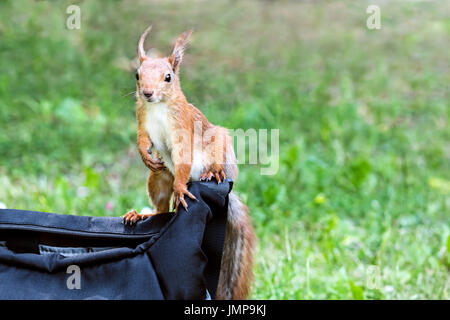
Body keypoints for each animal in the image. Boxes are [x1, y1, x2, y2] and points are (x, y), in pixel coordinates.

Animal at [123, 25, 255, 300]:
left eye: (168, 77)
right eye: (137, 75)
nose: (147, 93)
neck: (158, 108)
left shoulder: (182, 129)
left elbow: (183, 156)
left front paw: (182, 190)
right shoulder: (142, 120)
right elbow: (142, 139)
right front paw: (146, 156)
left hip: (220, 144)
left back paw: (211, 174)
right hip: (160, 178)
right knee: (162, 210)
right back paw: (140, 215)